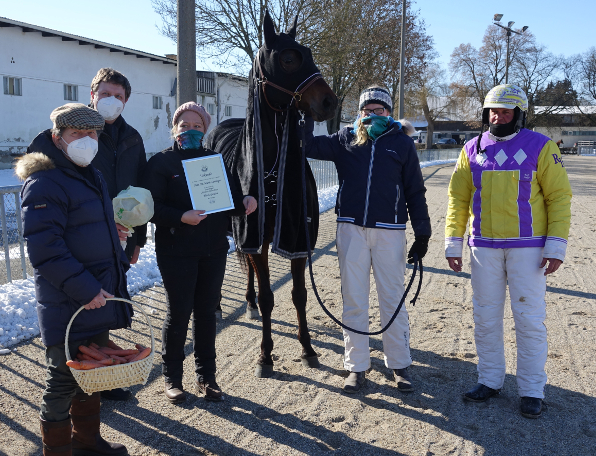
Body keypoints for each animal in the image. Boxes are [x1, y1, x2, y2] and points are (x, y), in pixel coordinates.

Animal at [205, 10, 338, 378]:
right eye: (289, 58)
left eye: (309, 53)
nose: (329, 102)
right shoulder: (255, 234)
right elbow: (268, 298)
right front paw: (265, 356)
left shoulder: (298, 237)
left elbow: (299, 294)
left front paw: (307, 349)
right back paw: (226, 305)